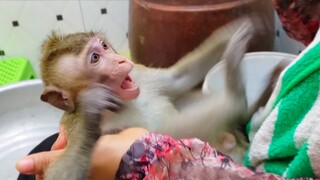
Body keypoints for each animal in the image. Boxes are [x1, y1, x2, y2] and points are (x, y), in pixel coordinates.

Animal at [40, 16, 268, 179]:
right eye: (95, 58)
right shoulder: (76, 124)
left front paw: (236, 29)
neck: (126, 101)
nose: (121, 60)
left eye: (104, 46)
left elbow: (178, 79)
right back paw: (236, 97)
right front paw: (91, 105)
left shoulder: (140, 75)